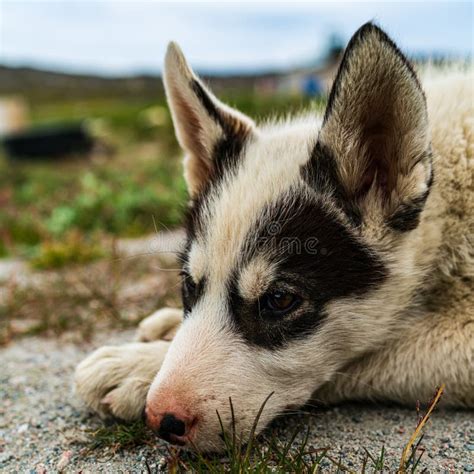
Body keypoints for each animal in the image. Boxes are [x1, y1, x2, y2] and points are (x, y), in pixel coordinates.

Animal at [75, 23, 474, 452]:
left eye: (280, 300)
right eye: (187, 283)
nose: (159, 418)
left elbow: (363, 356)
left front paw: (138, 364)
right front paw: (165, 329)